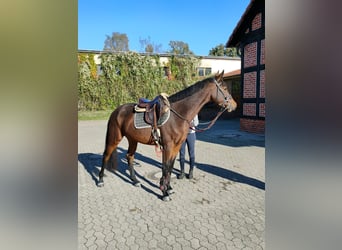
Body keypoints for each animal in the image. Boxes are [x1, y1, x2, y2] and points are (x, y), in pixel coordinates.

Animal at [97, 71, 236, 201]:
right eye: (224, 88)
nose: (234, 105)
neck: (177, 115)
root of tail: (116, 111)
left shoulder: (176, 146)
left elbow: (170, 166)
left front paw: (168, 188)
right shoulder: (168, 146)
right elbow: (166, 166)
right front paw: (164, 193)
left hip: (133, 140)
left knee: (129, 156)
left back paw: (135, 181)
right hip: (114, 138)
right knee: (106, 155)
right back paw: (100, 180)